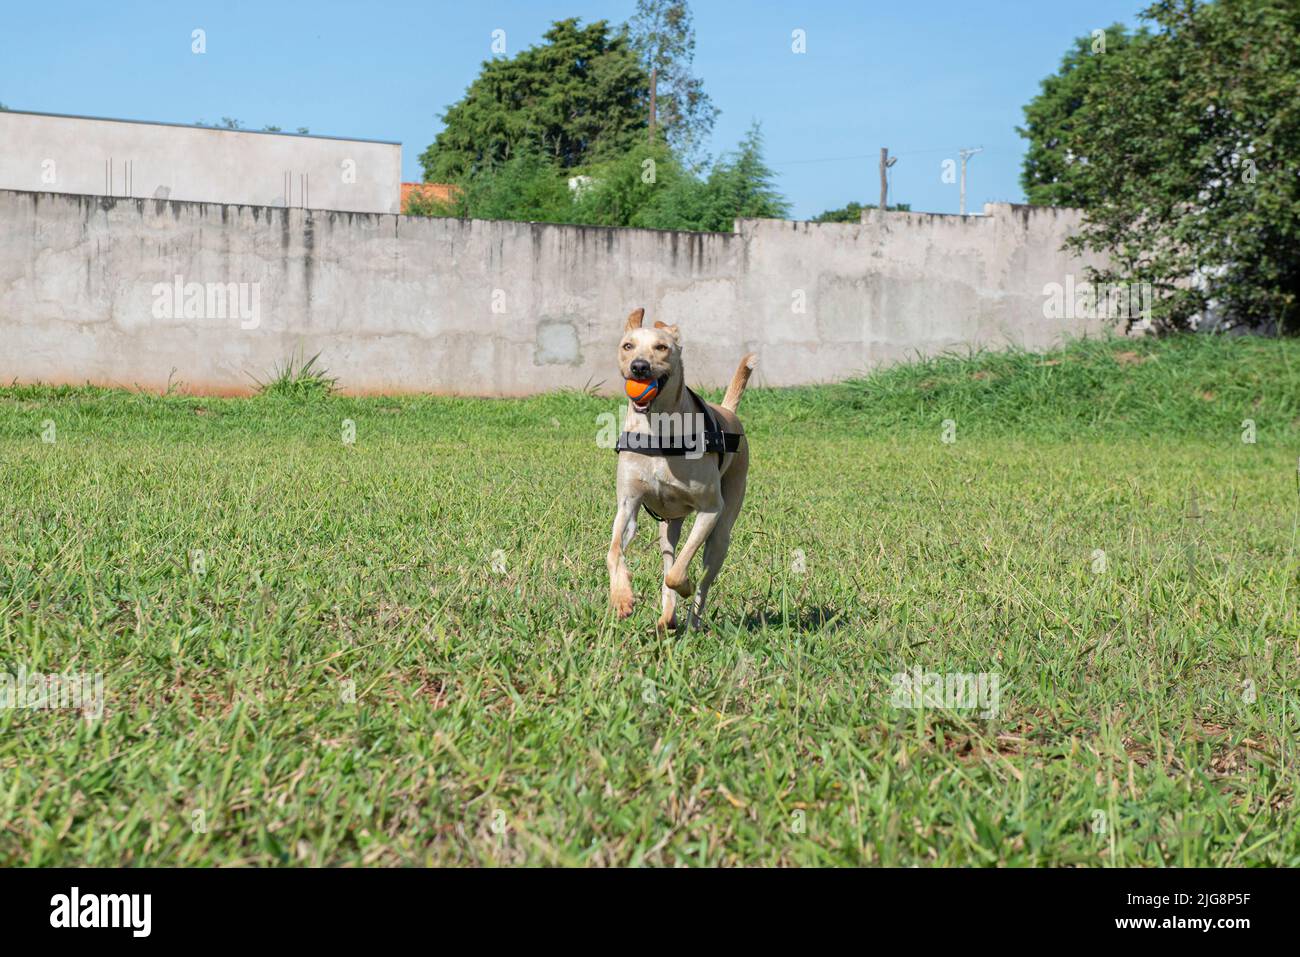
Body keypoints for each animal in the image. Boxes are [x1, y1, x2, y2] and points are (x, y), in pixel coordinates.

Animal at [605, 306, 759, 631]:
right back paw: (667, 618)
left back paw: (694, 621)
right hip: (667, 525)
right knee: (668, 556)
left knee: (702, 578)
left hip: (722, 532)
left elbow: (679, 572)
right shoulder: (628, 504)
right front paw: (622, 597)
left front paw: (684, 585)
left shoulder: (710, 510)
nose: (639, 367)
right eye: (628, 346)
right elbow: (614, 552)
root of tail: (728, 411)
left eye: (662, 347)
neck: (658, 429)